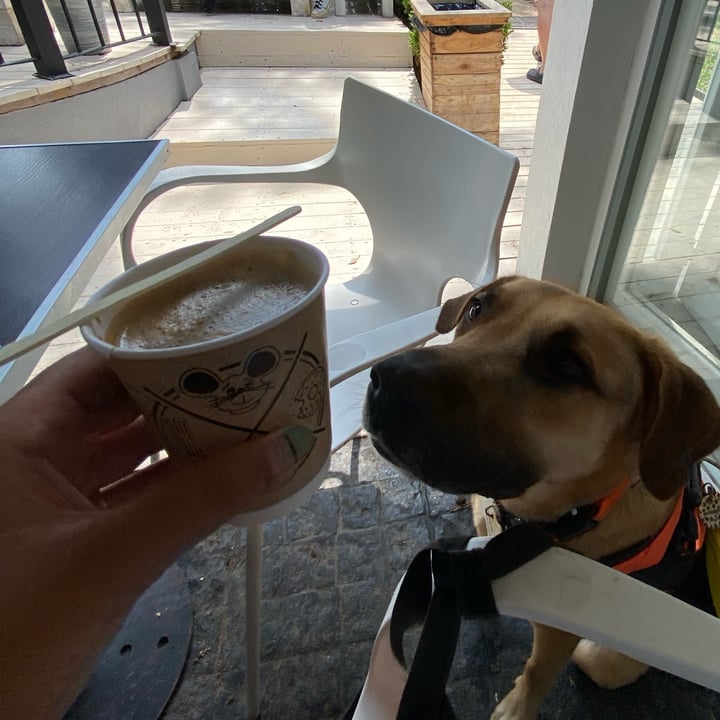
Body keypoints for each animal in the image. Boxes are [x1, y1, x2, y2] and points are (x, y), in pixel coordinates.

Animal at [362, 278, 720, 720]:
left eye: (569, 365)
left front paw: (517, 707)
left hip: (602, 659)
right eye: (475, 309)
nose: (386, 379)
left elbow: (538, 670)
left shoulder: (560, 631)